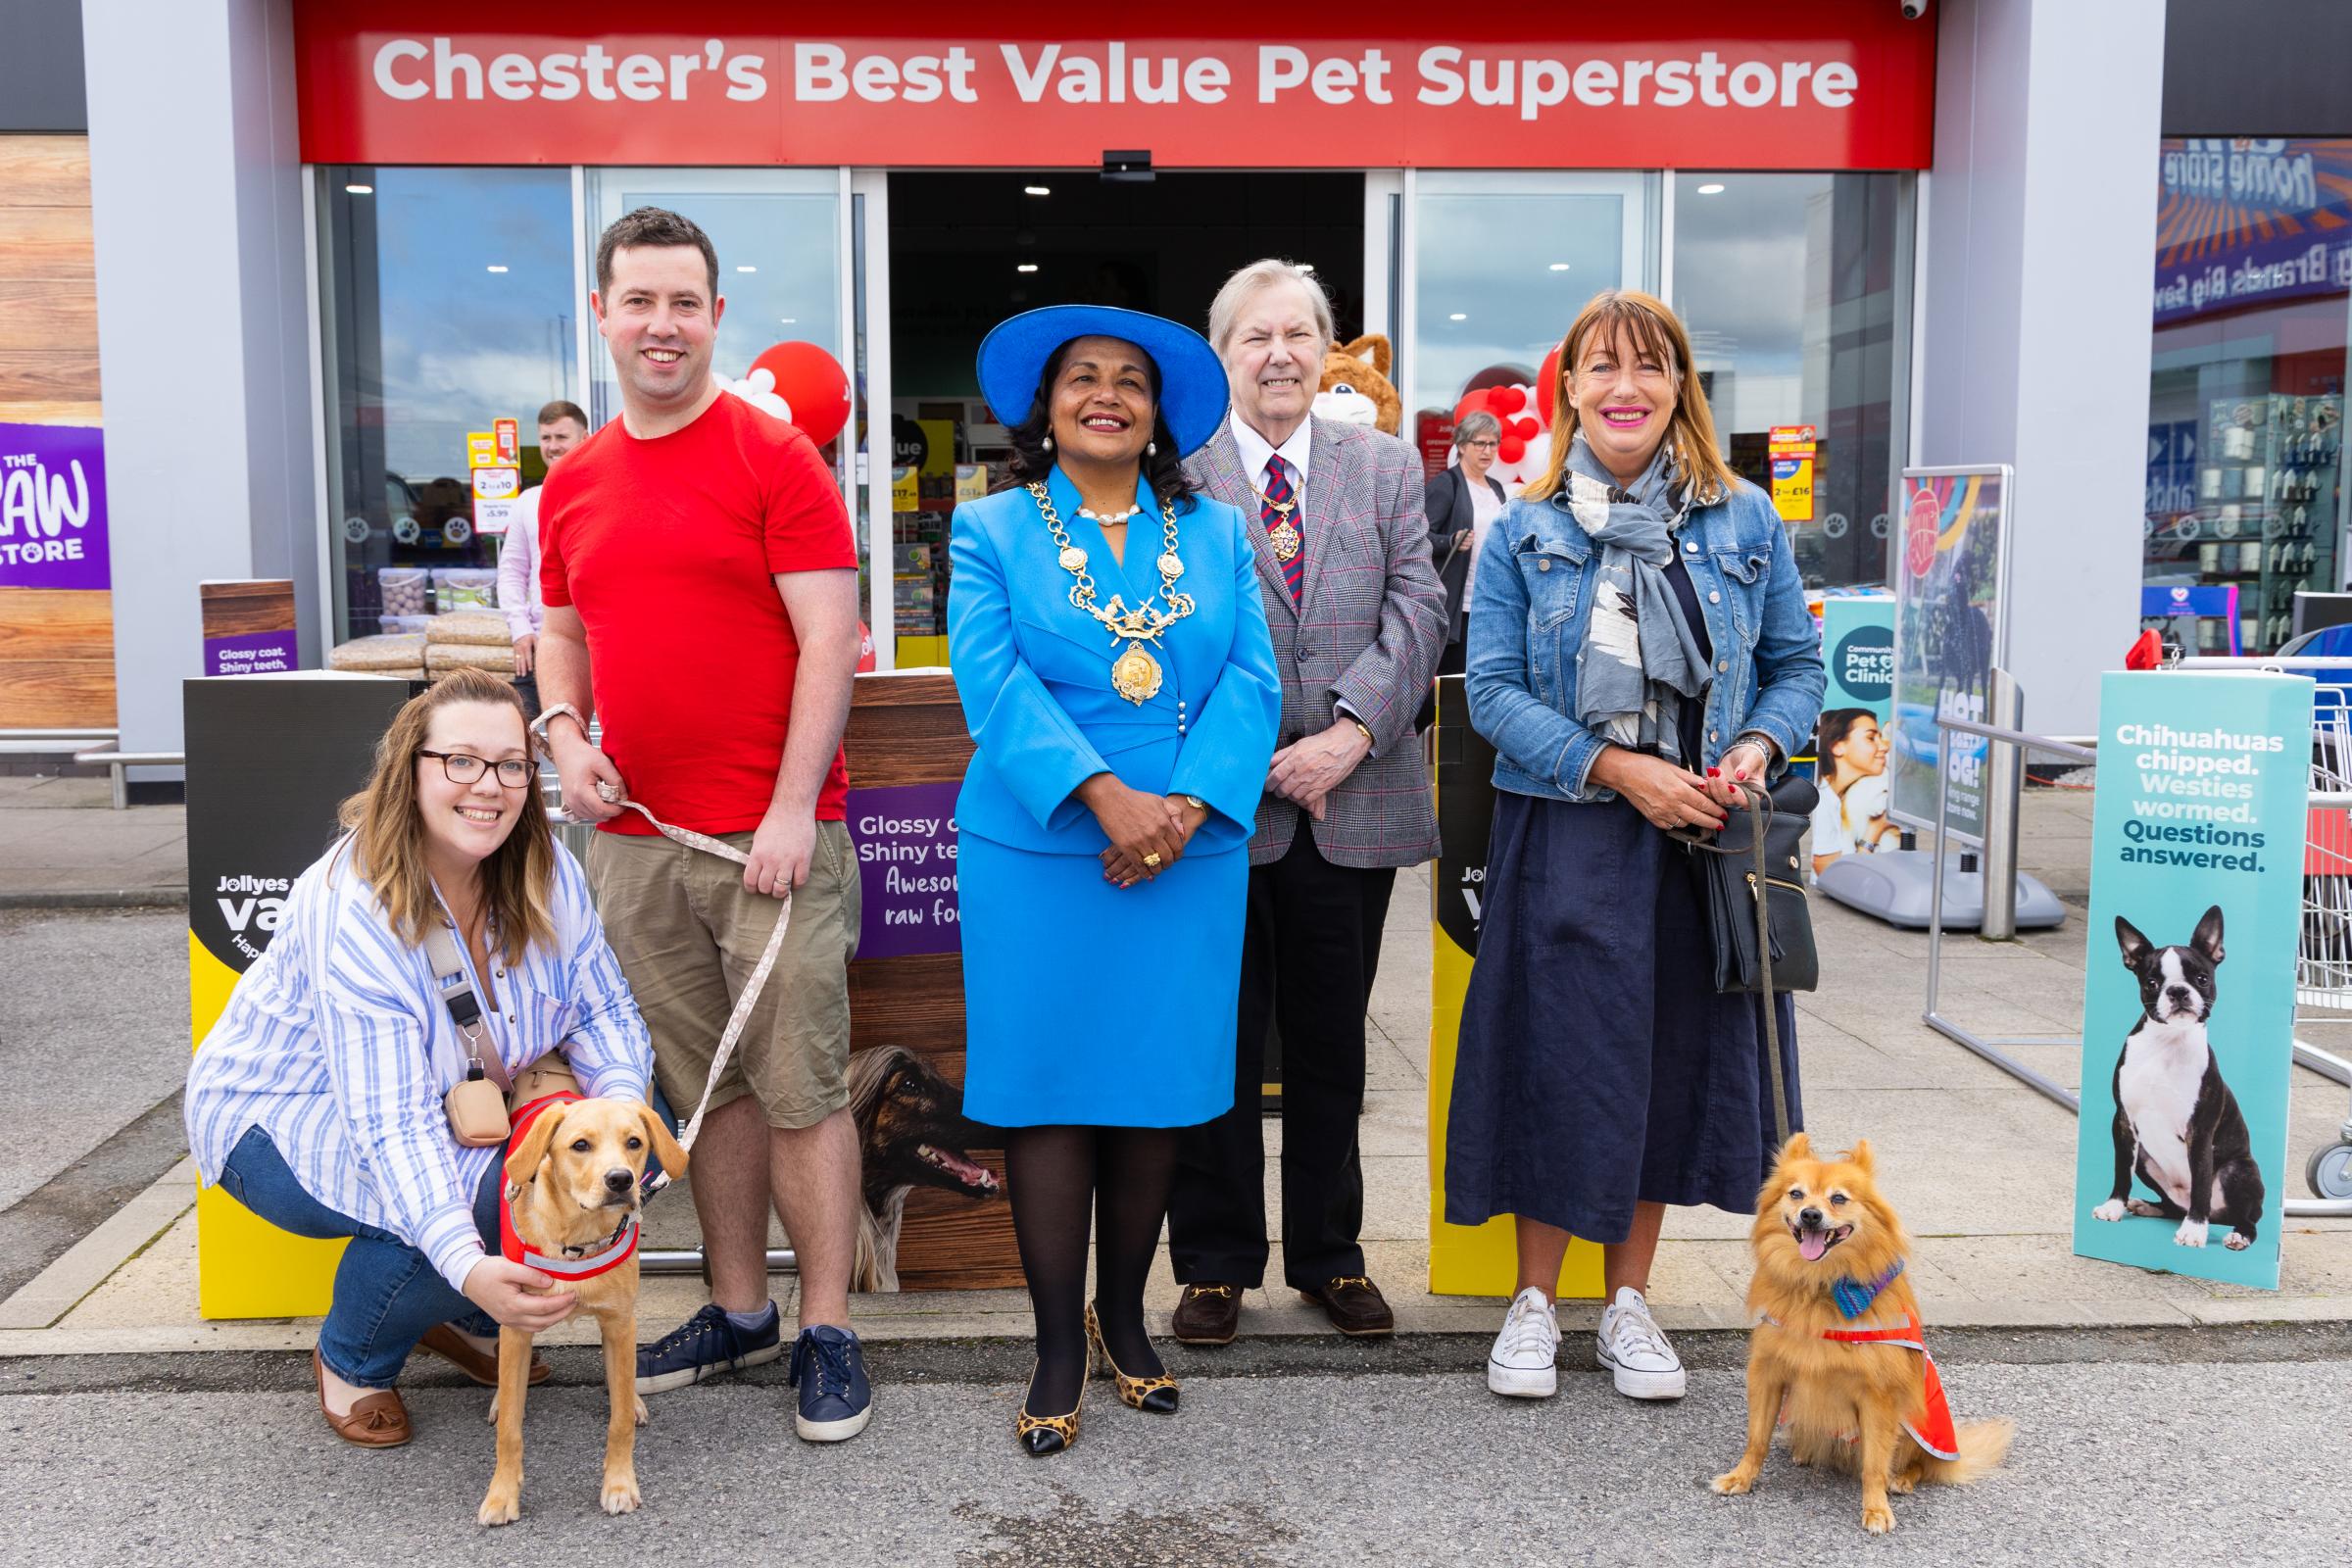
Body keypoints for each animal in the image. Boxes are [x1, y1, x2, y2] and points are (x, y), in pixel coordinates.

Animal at [479, 1100, 686, 1523]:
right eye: (580, 1145)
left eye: (634, 1142)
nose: (621, 1180)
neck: (578, 1237)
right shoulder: (517, 1325)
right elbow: (509, 1429)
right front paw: (501, 1494)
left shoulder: (620, 1324)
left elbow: (619, 1421)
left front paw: (619, 1485)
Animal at [1702, 1133, 2013, 1542]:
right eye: (1796, 1194)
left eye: (1838, 1198)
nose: (1810, 1215)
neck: (1820, 1288)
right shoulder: (1768, 1374)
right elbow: (1756, 1439)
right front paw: (1741, 1477)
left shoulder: (1878, 1397)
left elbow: (1874, 1465)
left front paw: (1876, 1508)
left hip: (1918, 1427)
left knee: (1922, 1463)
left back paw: (1902, 1479)